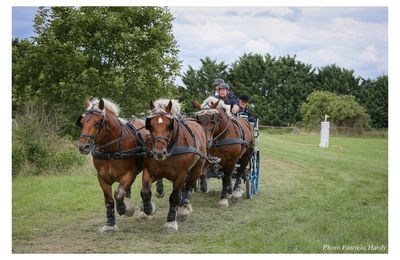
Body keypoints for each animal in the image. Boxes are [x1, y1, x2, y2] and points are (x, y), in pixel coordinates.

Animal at [76, 97, 148, 232]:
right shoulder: (102, 177)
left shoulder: (130, 173)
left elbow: (118, 193)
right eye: (82, 122)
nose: (83, 146)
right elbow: (109, 200)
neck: (111, 151)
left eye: (98, 122)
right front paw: (110, 223)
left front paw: (123, 208)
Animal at [139, 99, 209, 232]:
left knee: (189, 187)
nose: (159, 152)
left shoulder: (180, 175)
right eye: (150, 125)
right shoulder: (150, 171)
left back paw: (184, 208)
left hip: (196, 168)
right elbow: (145, 192)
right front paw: (148, 209)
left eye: (169, 125)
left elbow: (175, 196)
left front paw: (171, 221)